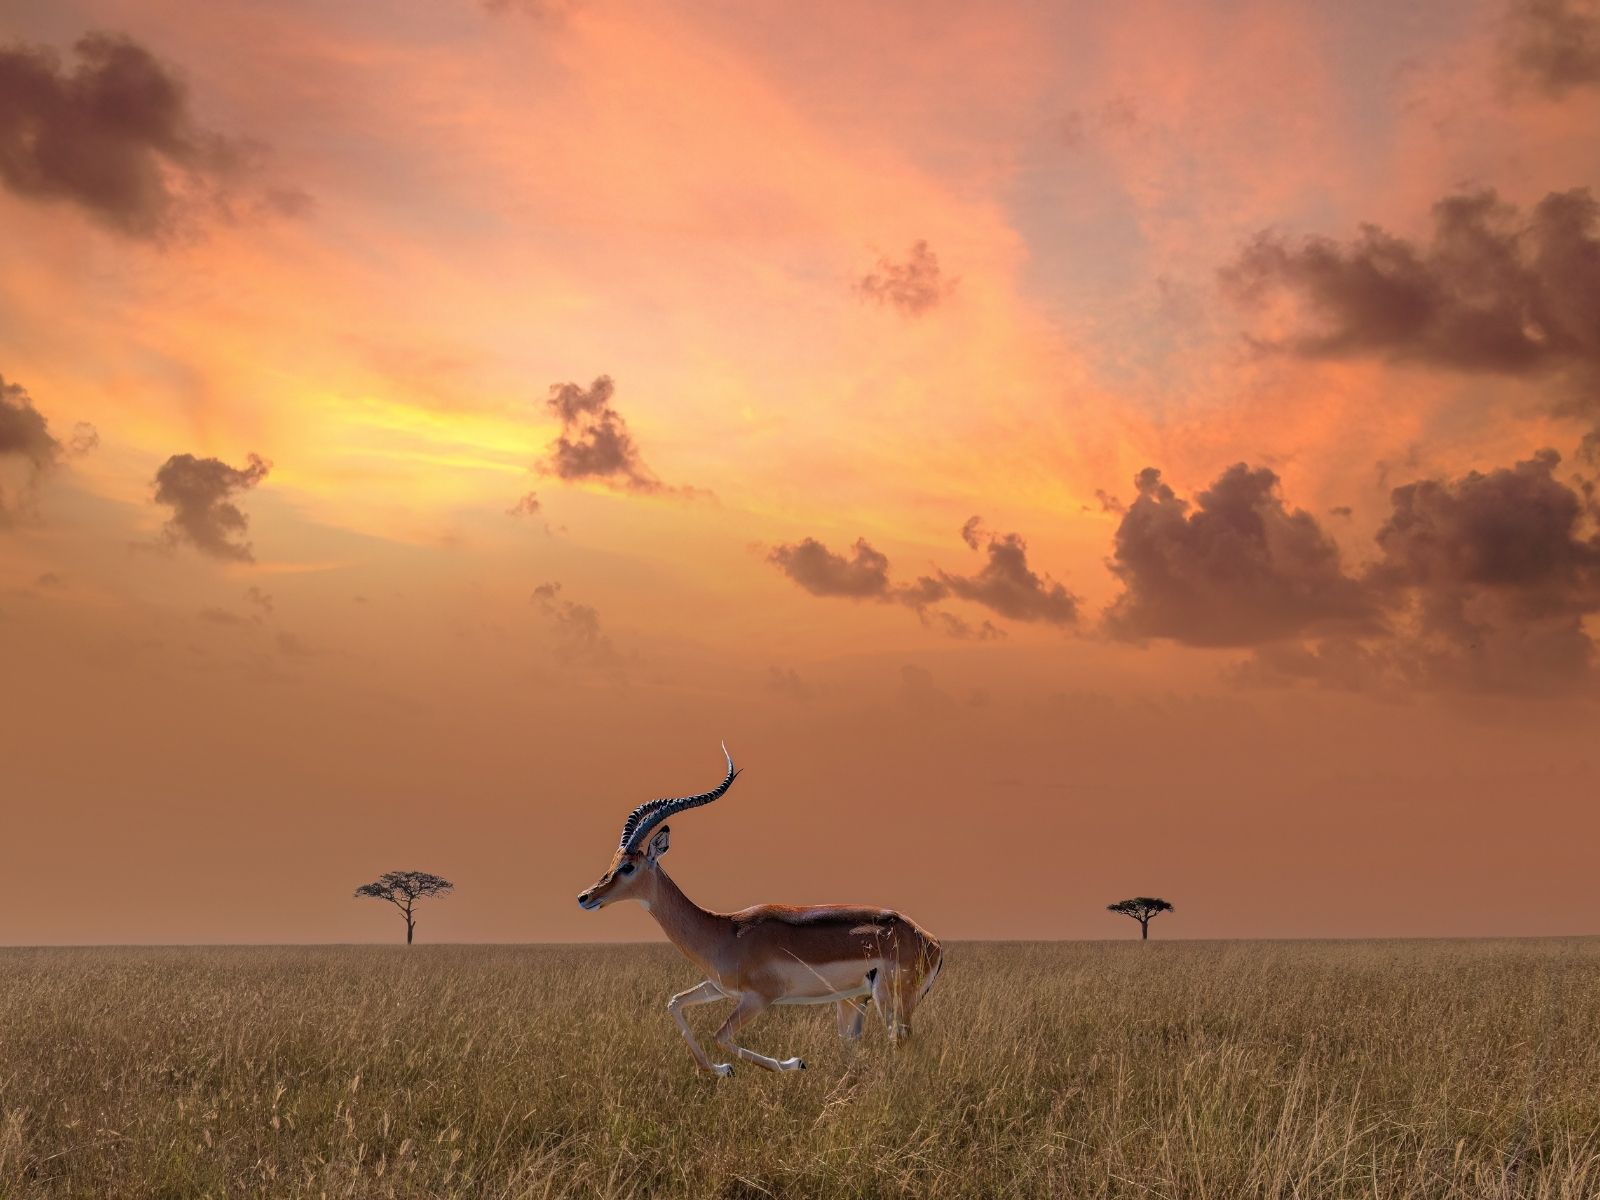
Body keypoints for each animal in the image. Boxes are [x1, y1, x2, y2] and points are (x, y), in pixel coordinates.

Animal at [577, 744, 943, 1076]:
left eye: (628, 866)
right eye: (612, 861)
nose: (584, 897)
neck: (724, 933)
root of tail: (931, 941)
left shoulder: (759, 998)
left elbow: (720, 1035)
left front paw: (794, 1063)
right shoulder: (718, 987)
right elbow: (674, 1003)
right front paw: (722, 1069)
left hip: (890, 1001)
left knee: (904, 1045)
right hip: (853, 1002)